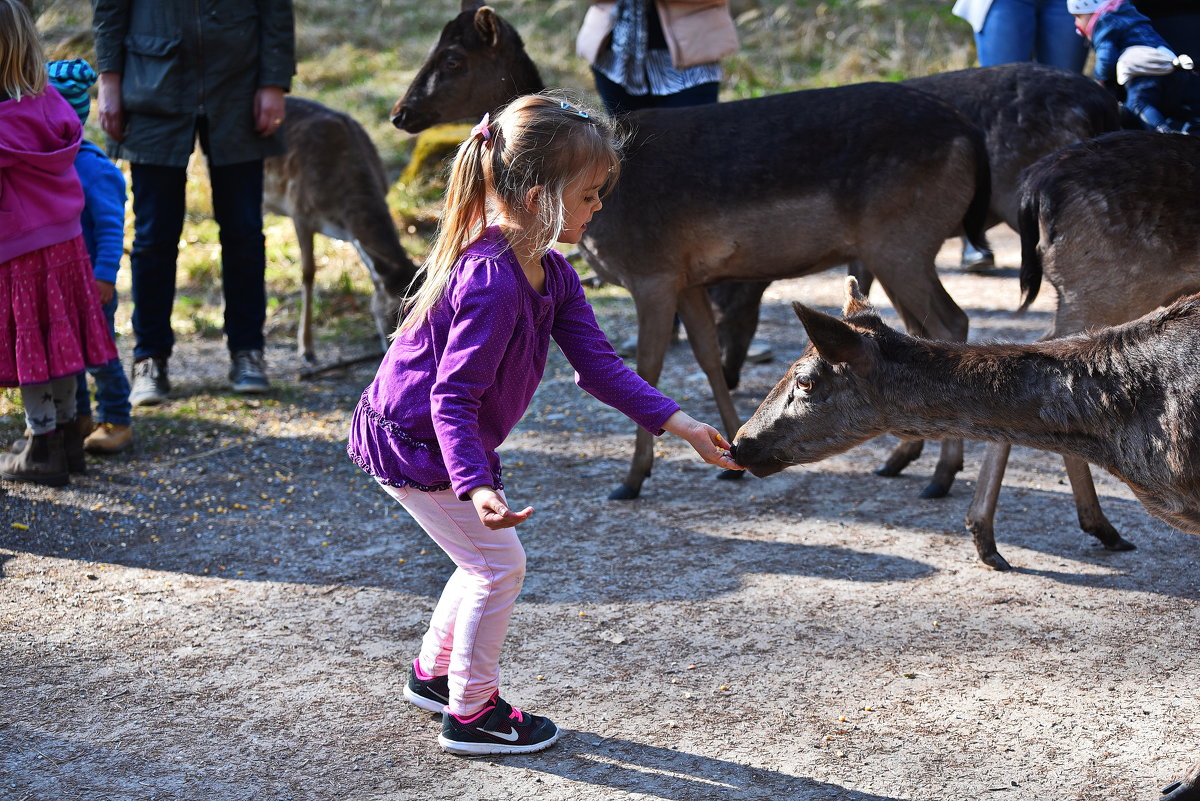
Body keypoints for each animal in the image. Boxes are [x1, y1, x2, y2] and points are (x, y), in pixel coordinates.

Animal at [393, 1, 993, 501]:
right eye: (433, 47)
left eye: (453, 57)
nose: (400, 113)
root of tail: (970, 131)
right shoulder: (688, 276)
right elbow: (706, 353)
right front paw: (726, 458)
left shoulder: (652, 271)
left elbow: (650, 365)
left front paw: (632, 479)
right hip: (897, 247)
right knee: (917, 329)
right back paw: (901, 457)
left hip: (901, 239)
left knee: (950, 320)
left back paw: (941, 475)